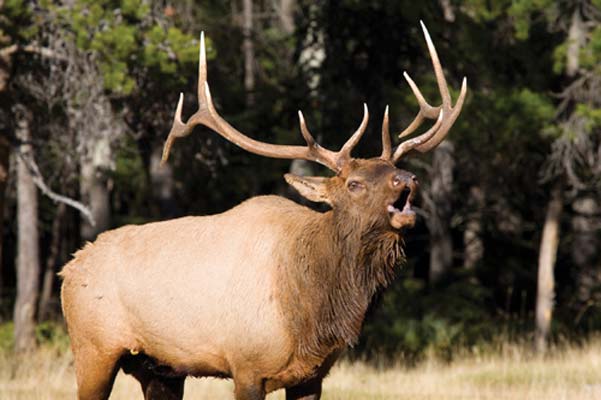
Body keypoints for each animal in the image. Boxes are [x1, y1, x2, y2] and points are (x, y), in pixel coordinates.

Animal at [59, 21, 464, 400]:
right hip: (93, 348)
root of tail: (69, 268)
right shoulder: (247, 366)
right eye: (354, 183)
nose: (407, 178)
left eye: (396, 169)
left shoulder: (313, 373)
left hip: (159, 367)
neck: (317, 309)